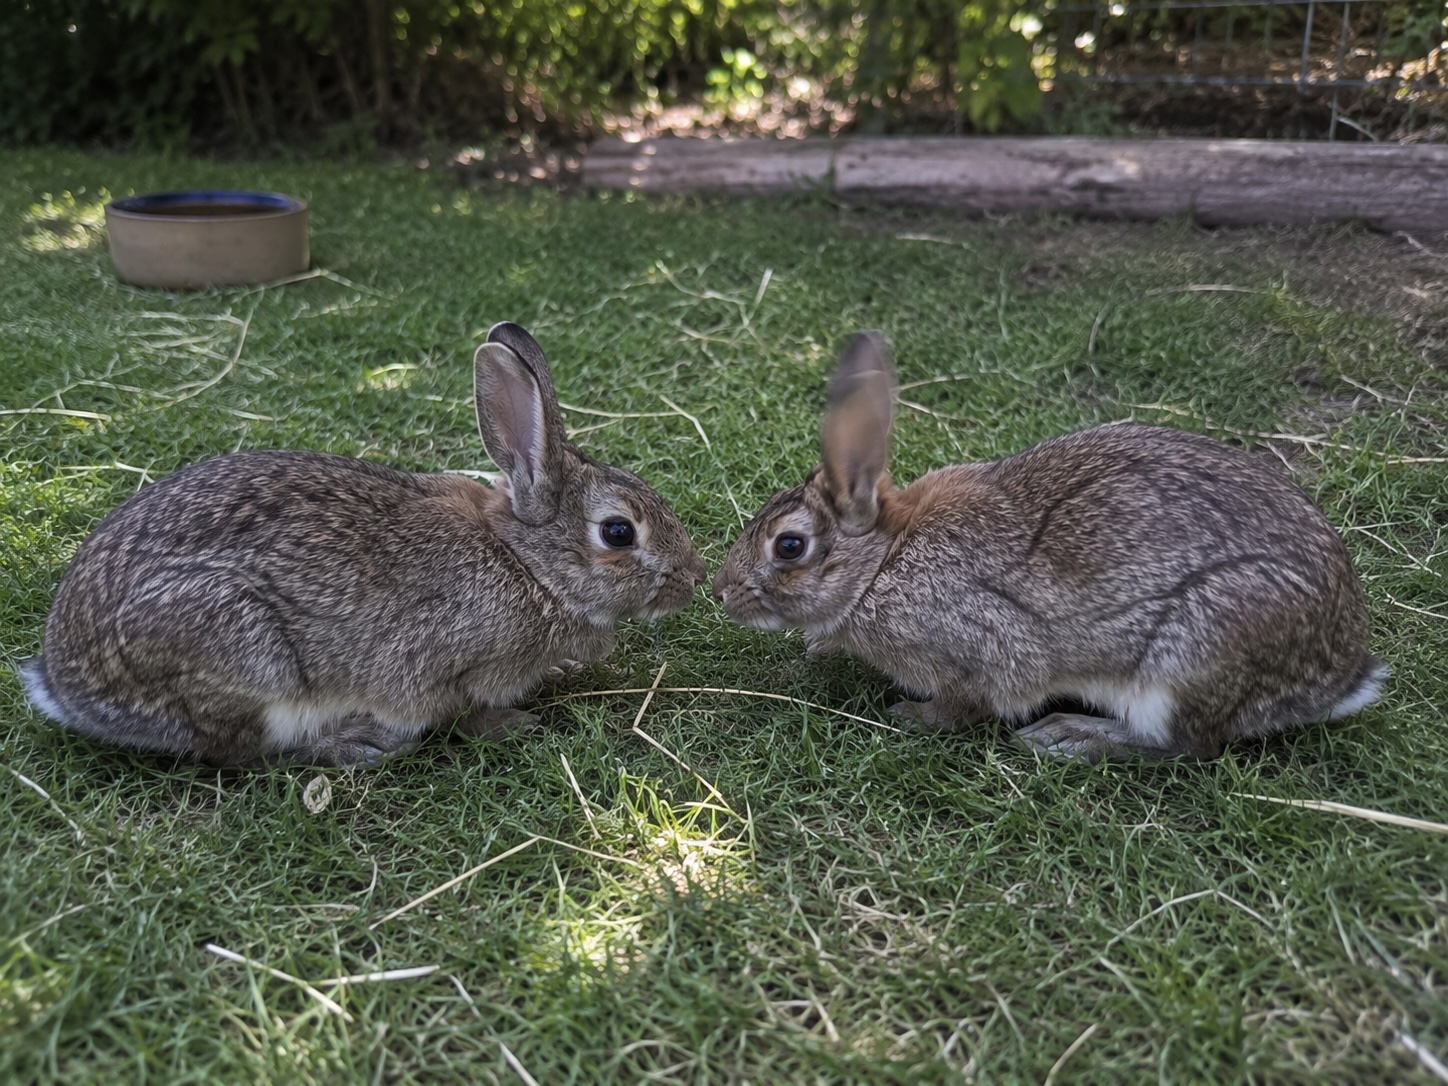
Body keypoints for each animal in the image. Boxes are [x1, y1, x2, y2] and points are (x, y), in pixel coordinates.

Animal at [21, 322, 707, 767]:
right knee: (236, 752)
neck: (527, 564)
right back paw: (354, 745)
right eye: (617, 532)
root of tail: (65, 686)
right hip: (241, 649)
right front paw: (514, 723)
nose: (694, 577)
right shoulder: (450, 666)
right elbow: (460, 712)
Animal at [712, 330, 1384, 761]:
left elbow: (968, 704)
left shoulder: (979, 652)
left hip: (1192, 653)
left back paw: (1070, 737)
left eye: (789, 546)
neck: (883, 562)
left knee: (1190, 745)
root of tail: (1341, 677)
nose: (721, 593)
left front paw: (910, 717)